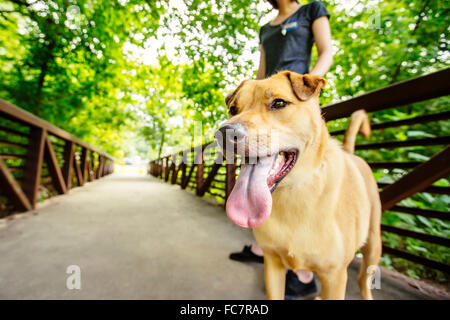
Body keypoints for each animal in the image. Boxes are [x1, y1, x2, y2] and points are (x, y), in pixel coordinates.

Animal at [216, 70, 382, 300]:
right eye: (233, 109)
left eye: (279, 103)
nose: (224, 133)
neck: (293, 193)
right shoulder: (272, 264)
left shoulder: (335, 277)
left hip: (373, 246)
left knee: (363, 281)